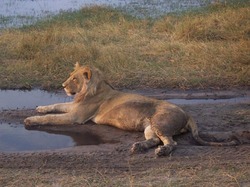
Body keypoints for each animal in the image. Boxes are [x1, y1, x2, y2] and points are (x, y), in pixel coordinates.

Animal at [23, 62, 238, 156]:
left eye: (74, 79)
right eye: (70, 75)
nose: (62, 85)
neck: (92, 89)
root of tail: (188, 114)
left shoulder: (77, 116)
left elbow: (52, 117)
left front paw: (31, 120)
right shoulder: (74, 106)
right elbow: (55, 106)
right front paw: (40, 107)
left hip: (160, 122)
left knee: (172, 143)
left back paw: (161, 151)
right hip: (149, 127)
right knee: (154, 140)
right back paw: (138, 147)